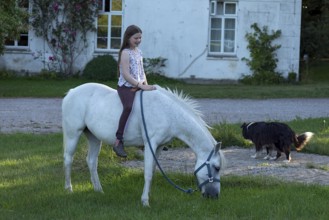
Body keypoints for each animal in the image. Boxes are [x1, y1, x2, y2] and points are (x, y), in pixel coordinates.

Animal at [61, 82, 224, 206]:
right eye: (216, 167)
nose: (215, 196)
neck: (168, 113)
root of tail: (72, 92)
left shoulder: (158, 147)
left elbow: (152, 171)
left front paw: (148, 196)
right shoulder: (150, 144)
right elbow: (147, 173)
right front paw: (145, 201)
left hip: (94, 138)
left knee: (92, 161)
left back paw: (99, 190)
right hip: (73, 133)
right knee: (68, 159)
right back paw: (69, 189)